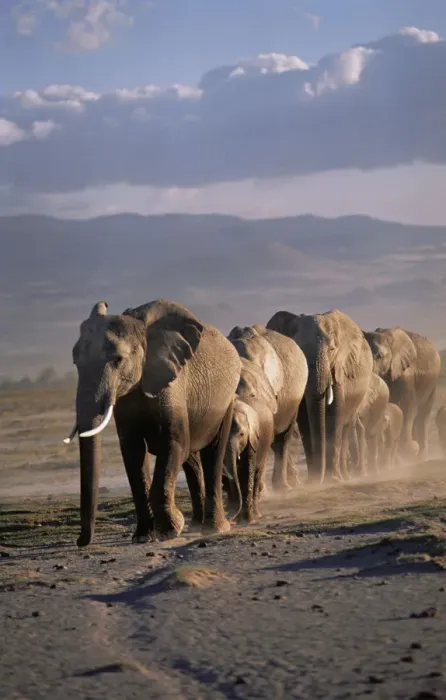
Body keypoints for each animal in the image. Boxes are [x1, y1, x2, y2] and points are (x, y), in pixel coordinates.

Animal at [64, 298, 241, 547]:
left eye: (118, 360)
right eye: (75, 361)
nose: (80, 542)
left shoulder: (173, 384)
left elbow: (173, 443)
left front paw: (171, 530)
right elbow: (133, 452)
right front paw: (142, 537)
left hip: (226, 402)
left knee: (212, 455)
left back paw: (213, 528)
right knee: (191, 460)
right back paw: (197, 525)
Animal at [266, 309, 373, 483]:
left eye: (332, 350)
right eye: (299, 351)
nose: (319, 476)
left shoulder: (339, 368)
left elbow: (334, 415)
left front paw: (331, 479)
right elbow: (304, 419)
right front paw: (314, 480)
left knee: (346, 427)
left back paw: (343, 476)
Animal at [363, 328, 440, 462]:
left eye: (380, 356)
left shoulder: (406, 374)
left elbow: (407, 407)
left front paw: (409, 450)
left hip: (432, 383)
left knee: (423, 413)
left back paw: (420, 455)